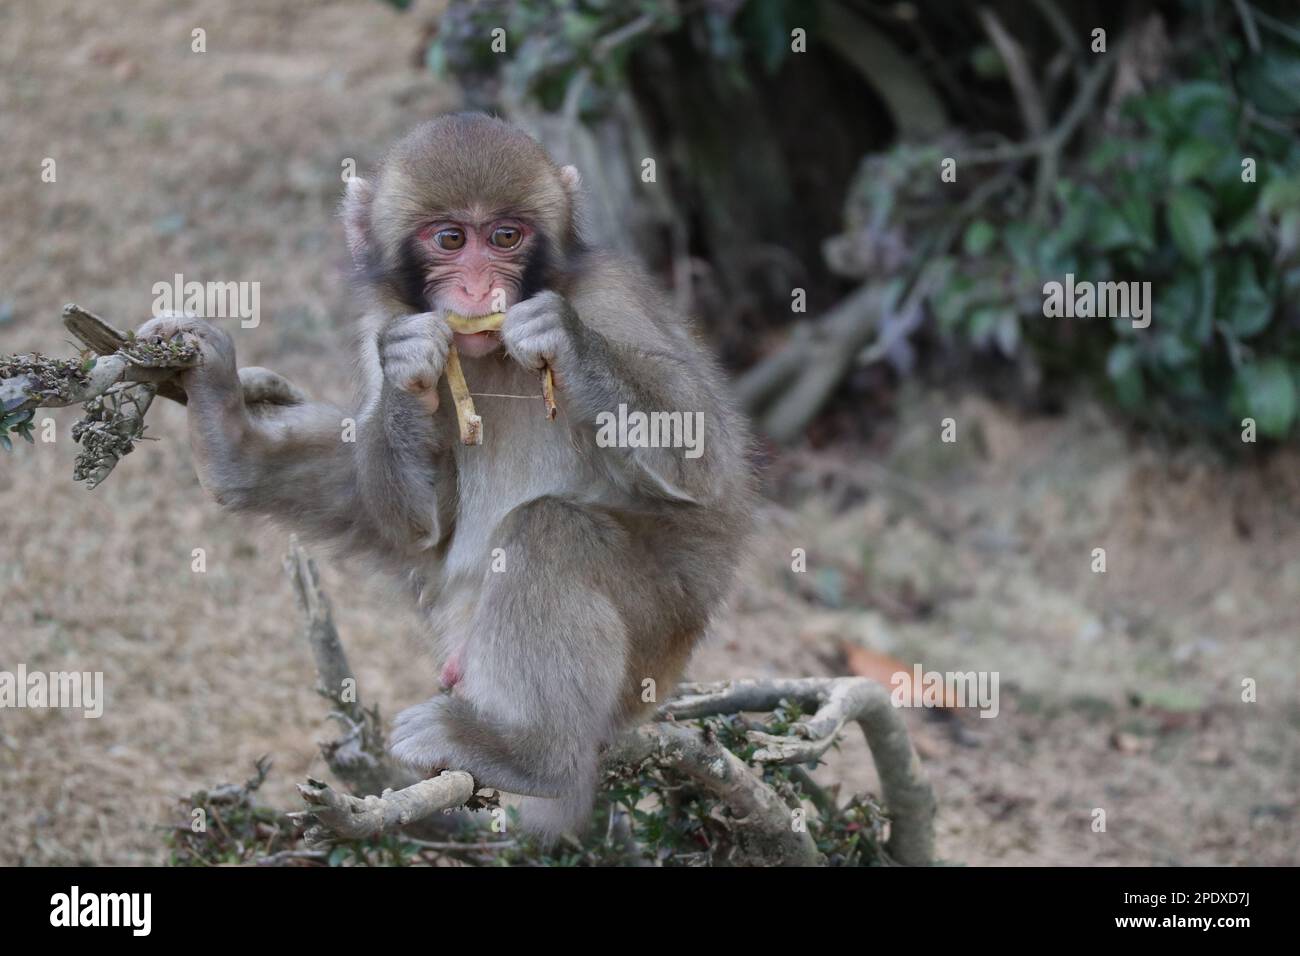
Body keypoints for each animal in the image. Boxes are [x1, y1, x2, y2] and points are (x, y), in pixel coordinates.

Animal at [134, 115, 754, 842]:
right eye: (451, 239)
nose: (479, 291)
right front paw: (409, 373)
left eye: (506, 238)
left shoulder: (613, 300)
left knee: (550, 530)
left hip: (655, 649)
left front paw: (564, 339)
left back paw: (536, 756)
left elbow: (706, 460)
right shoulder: (383, 318)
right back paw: (228, 438)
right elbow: (417, 523)